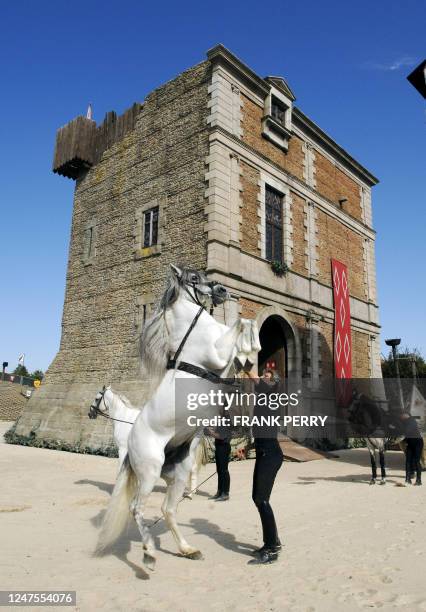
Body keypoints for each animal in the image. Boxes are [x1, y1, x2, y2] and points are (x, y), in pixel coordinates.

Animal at [95, 266, 260, 572]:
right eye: (193, 279)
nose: (223, 291)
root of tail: (133, 444)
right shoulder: (217, 352)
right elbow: (241, 323)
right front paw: (249, 348)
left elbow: (245, 324)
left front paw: (249, 354)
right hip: (149, 471)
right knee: (138, 508)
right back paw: (149, 554)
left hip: (178, 473)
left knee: (167, 509)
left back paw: (187, 549)